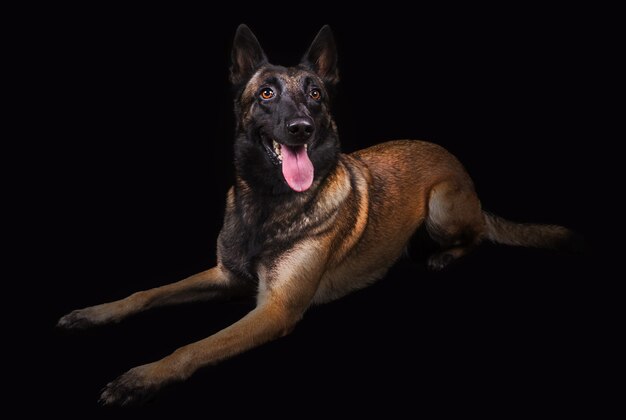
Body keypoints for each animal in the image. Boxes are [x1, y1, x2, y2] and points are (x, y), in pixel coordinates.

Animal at [58, 24, 576, 406]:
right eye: (266, 94)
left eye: (316, 95)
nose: (301, 128)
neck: (267, 203)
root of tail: (452, 159)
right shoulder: (227, 276)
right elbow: (146, 293)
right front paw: (94, 313)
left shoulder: (275, 309)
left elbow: (194, 346)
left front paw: (142, 377)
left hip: (442, 205)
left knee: (477, 234)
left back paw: (443, 256)